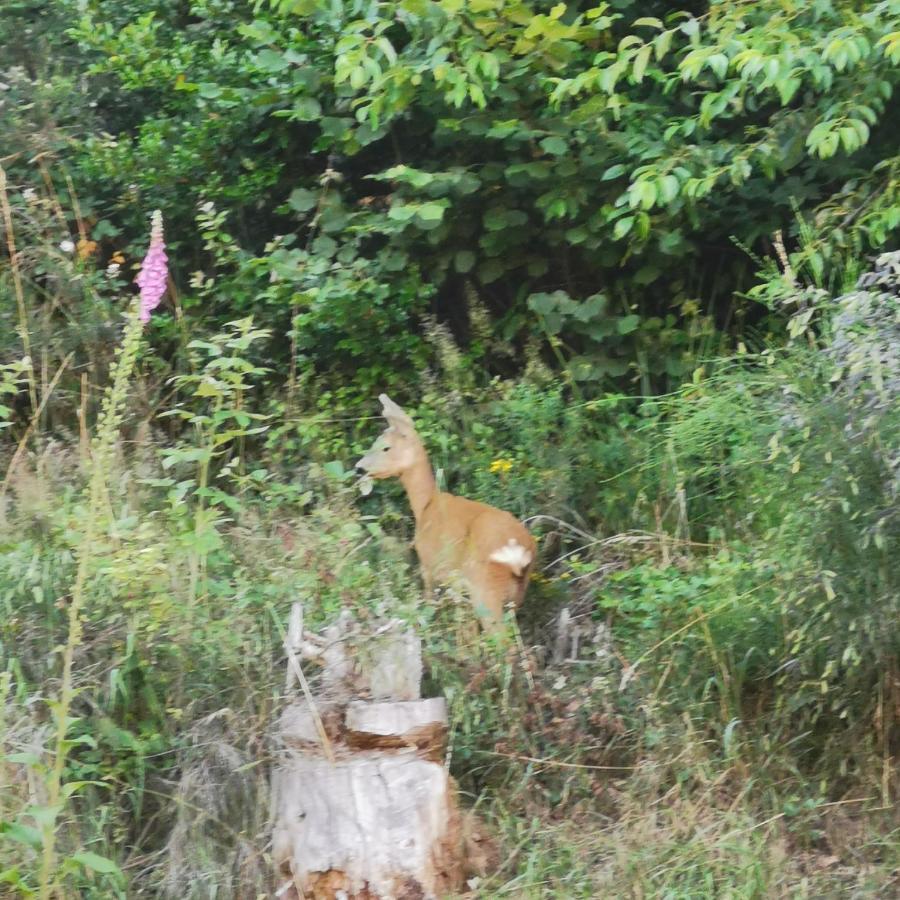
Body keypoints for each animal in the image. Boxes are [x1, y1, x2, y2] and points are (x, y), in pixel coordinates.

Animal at [356, 394, 536, 624]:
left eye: (385, 447)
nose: (359, 468)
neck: (425, 506)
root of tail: (520, 553)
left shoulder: (427, 565)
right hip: (515, 595)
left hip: (485, 591)